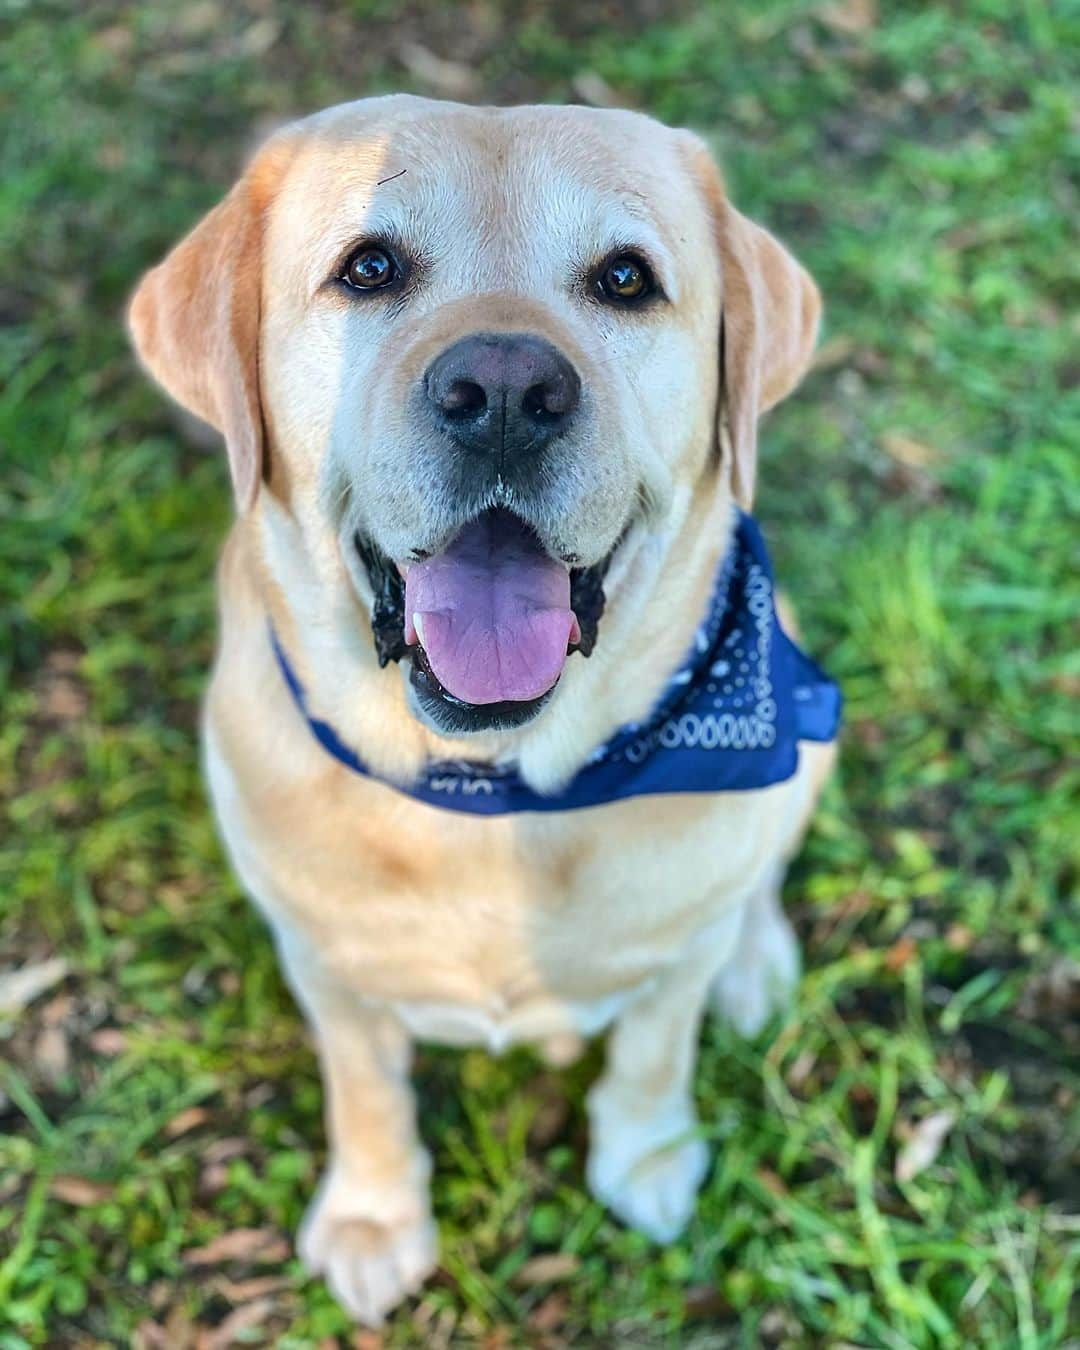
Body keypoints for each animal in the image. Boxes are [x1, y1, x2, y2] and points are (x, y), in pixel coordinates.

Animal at [126, 97, 837, 1328]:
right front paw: (375, 1219)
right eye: (368, 267)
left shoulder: (673, 965)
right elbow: (365, 1094)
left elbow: (654, 1050)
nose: (505, 390)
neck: (495, 797)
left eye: (625, 278)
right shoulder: (326, 968)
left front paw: (648, 1160)